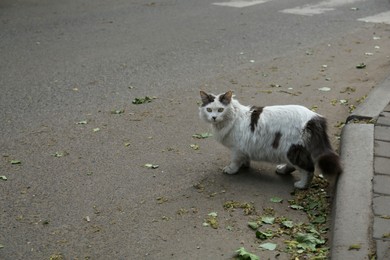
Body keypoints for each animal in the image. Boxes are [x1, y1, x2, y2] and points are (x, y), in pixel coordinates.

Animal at [198, 90, 342, 189]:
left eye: (220, 109)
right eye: (209, 109)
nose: (214, 117)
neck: (233, 118)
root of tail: (314, 117)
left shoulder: (236, 148)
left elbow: (234, 161)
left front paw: (231, 169)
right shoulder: (244, 147)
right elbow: (245, 157)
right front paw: (245, 165)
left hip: (292, 149)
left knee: (308, 169)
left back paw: (301, 185)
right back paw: (282, 170)